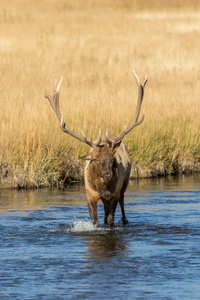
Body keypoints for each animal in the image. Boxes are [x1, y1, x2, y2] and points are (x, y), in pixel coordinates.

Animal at [45, 69, 148, 227]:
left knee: (122, 200)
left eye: (113, 158)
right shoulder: (90, 194)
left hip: (125, 182)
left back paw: (125, 220)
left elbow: (110, 219)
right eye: (96, 159)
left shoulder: (113, 194)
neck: (102, 189)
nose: (107, 174)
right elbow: (95, 221)